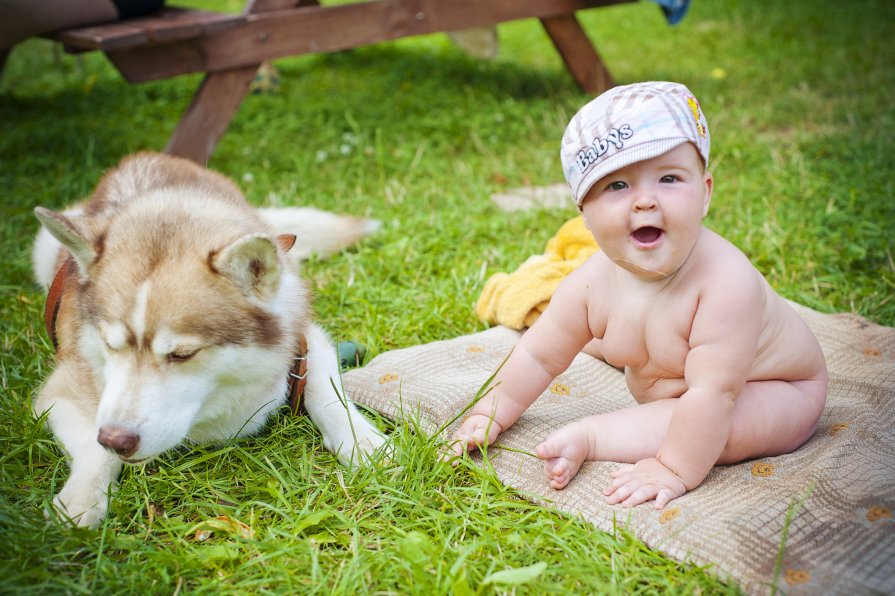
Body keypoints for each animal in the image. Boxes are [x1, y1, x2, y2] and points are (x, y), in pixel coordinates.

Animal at [31, 151, 386, 528]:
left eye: (183, 354)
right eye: (111, 344)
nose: (117, 440)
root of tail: (151, 156)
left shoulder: (306, 337)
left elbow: (326, 391)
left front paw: (362, 441)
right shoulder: (61, 389)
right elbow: (92, 445)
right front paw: (84, 496)